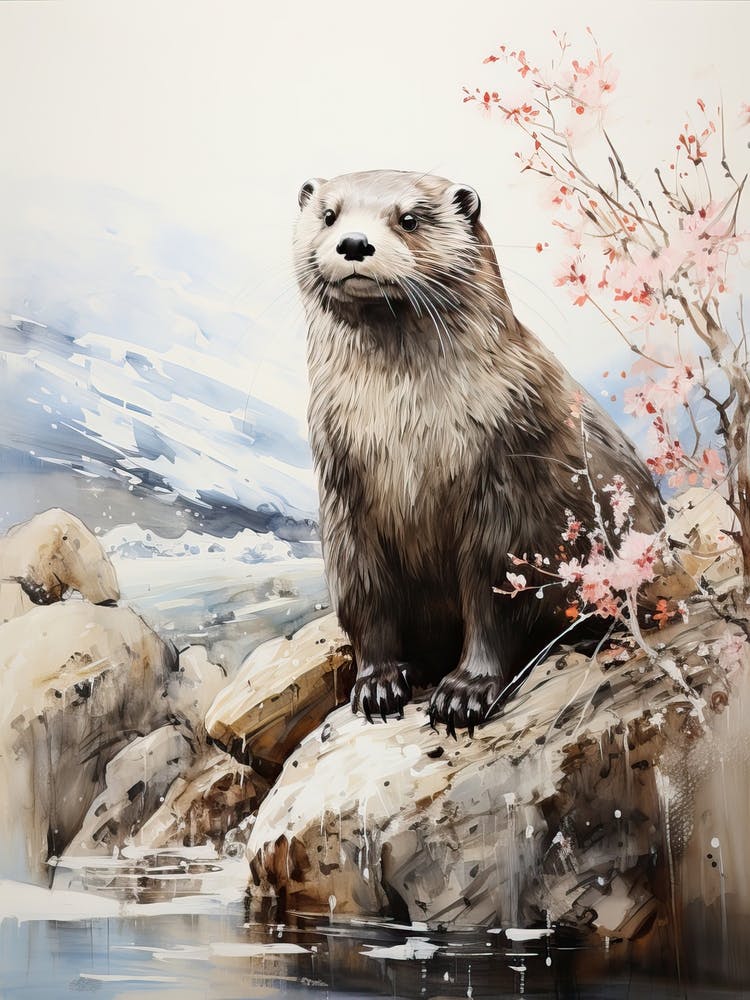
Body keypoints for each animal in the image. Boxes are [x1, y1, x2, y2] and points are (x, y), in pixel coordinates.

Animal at [294, 170, 662, 735]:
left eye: (409, 218)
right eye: (329, 215)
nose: (354, 242)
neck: (406, 435)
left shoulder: (504, 479)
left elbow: (493, 599)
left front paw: (465, 691)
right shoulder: (342, 495)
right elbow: (365, 598)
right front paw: (377, 683)